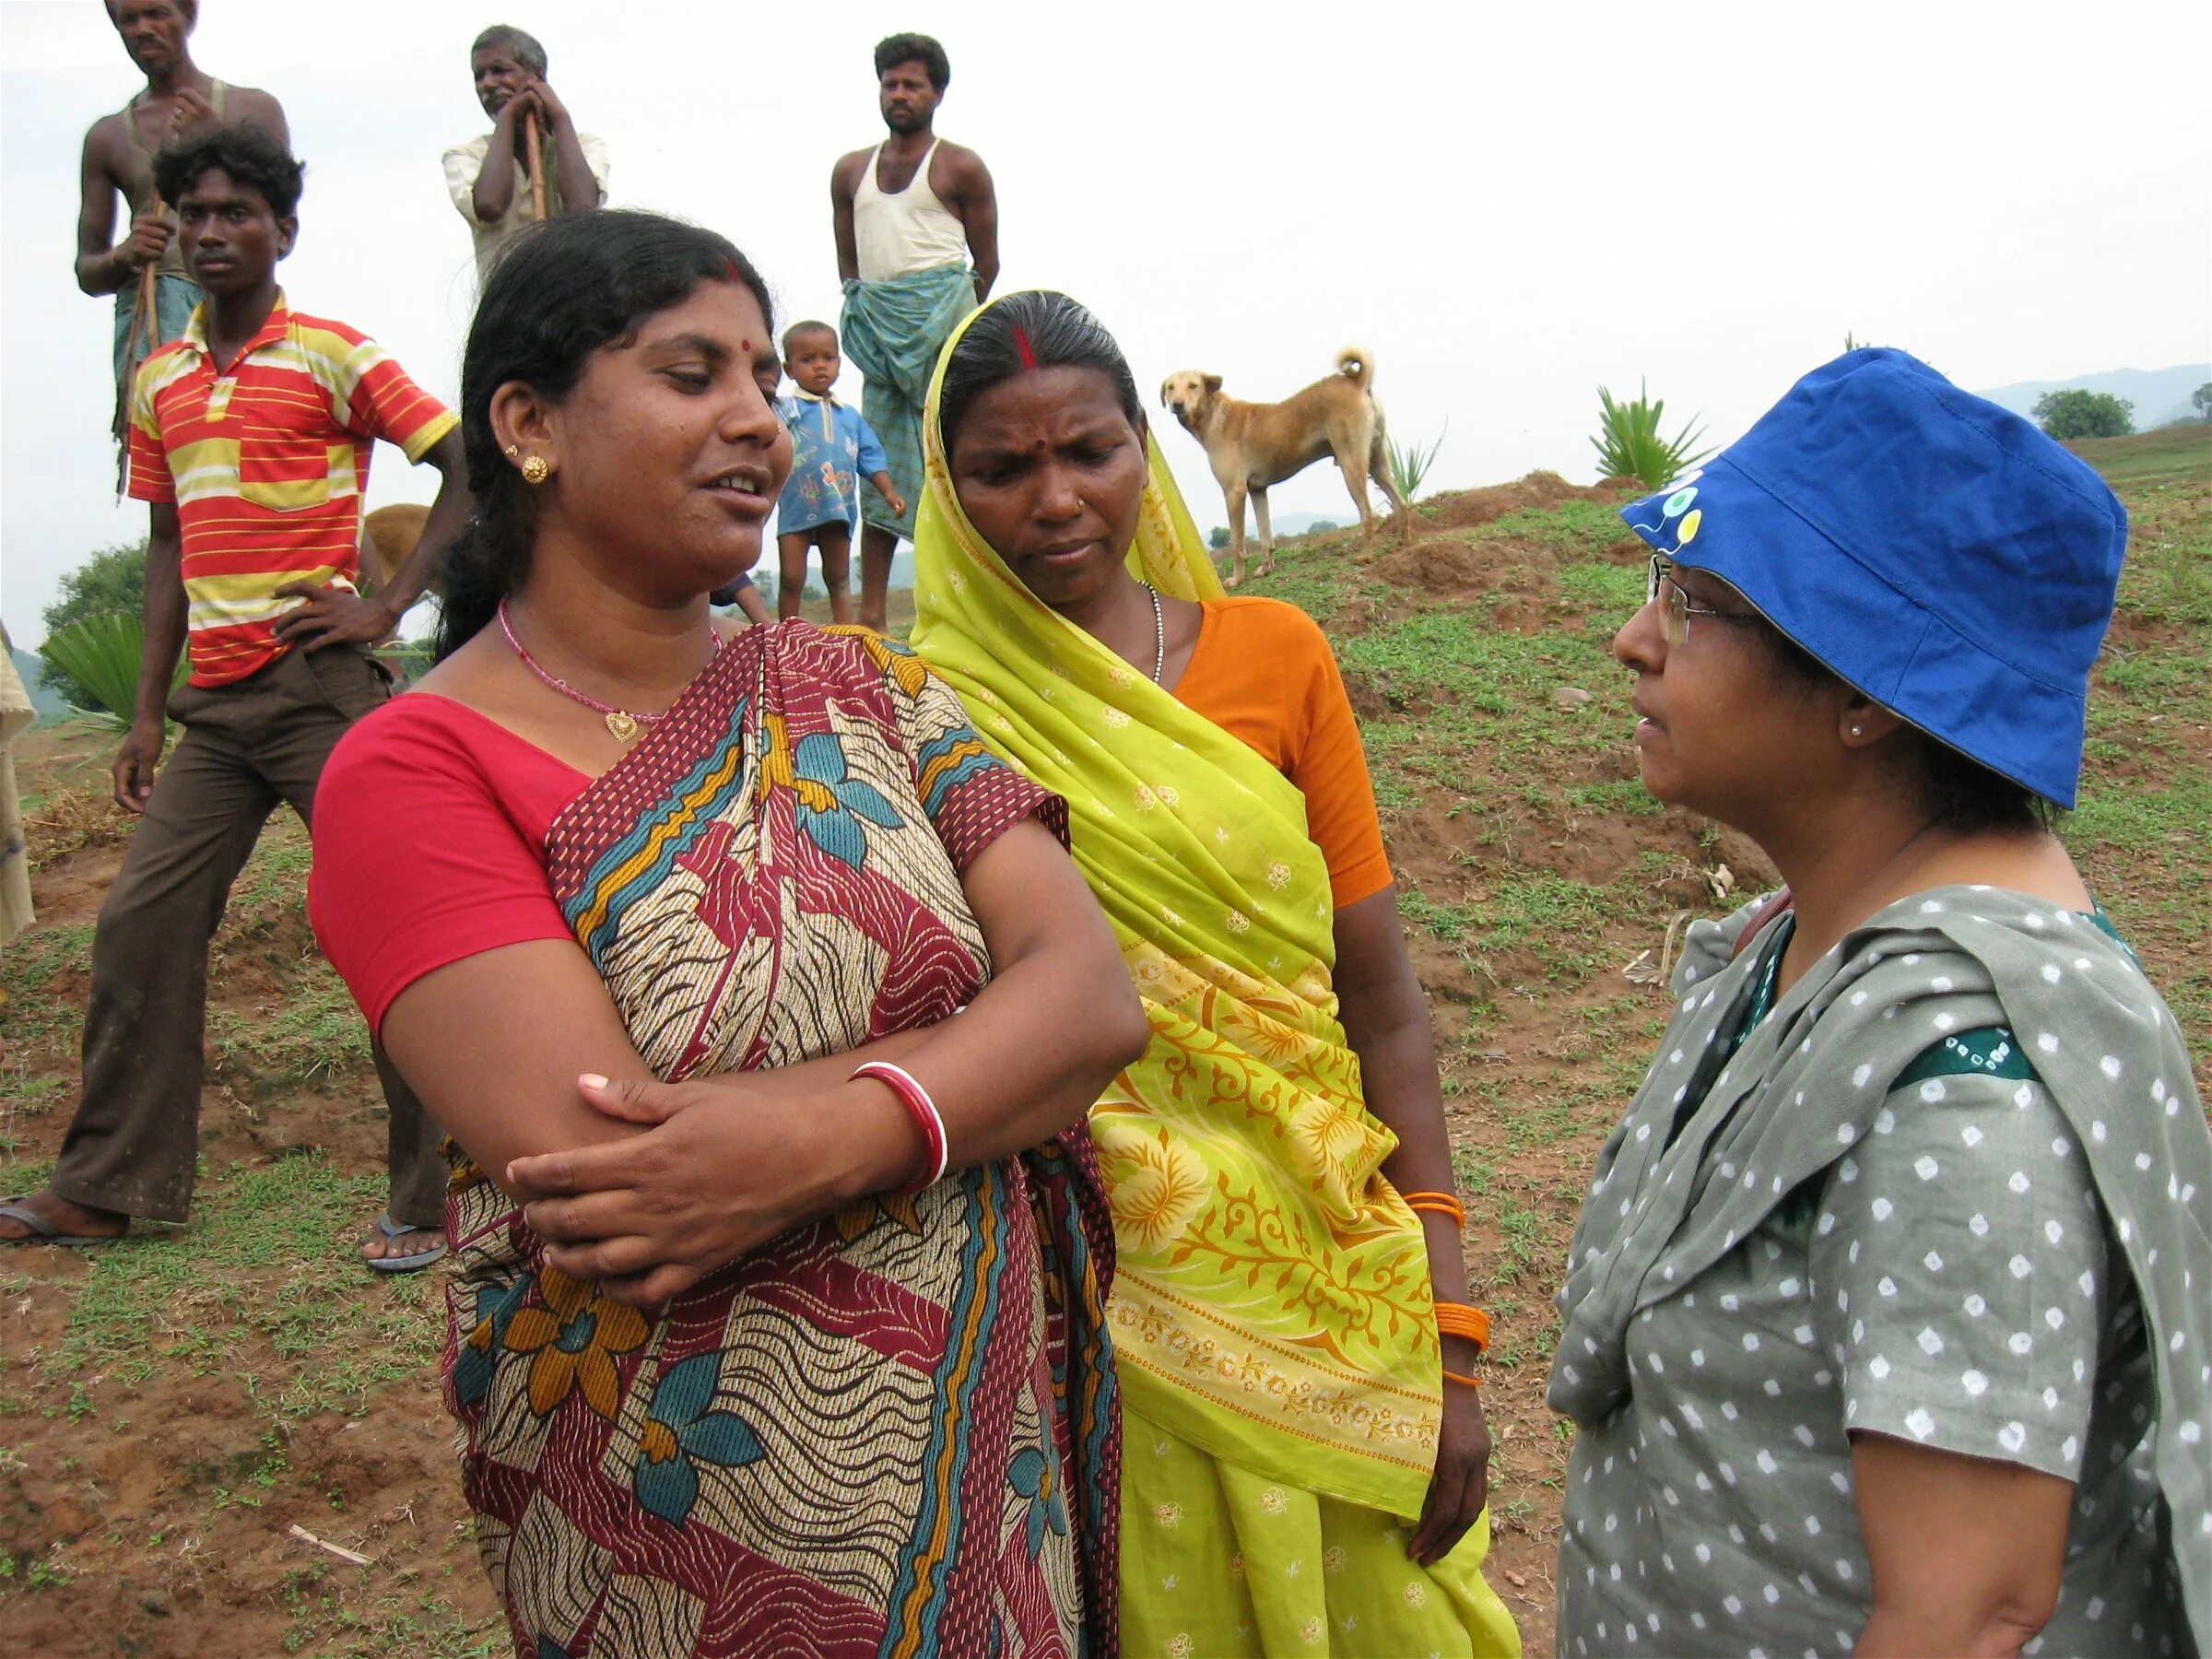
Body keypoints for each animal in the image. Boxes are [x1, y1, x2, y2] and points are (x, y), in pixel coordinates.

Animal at [1159, 347, 1416, 588]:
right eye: (1170, 387)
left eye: (1193, 385)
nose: (1177, 404)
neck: (1214, 416)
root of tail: (1357, 381)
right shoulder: (1257, 490)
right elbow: (1265, 537)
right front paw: (1267, 568)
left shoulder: (1234, 492)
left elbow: (1237, 544)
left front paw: (1237, 578)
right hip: (1378, 462)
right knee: (1401, 503)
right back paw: (1404, 542)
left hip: (1352, 464)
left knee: (1368, 514)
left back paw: (1365, 556)